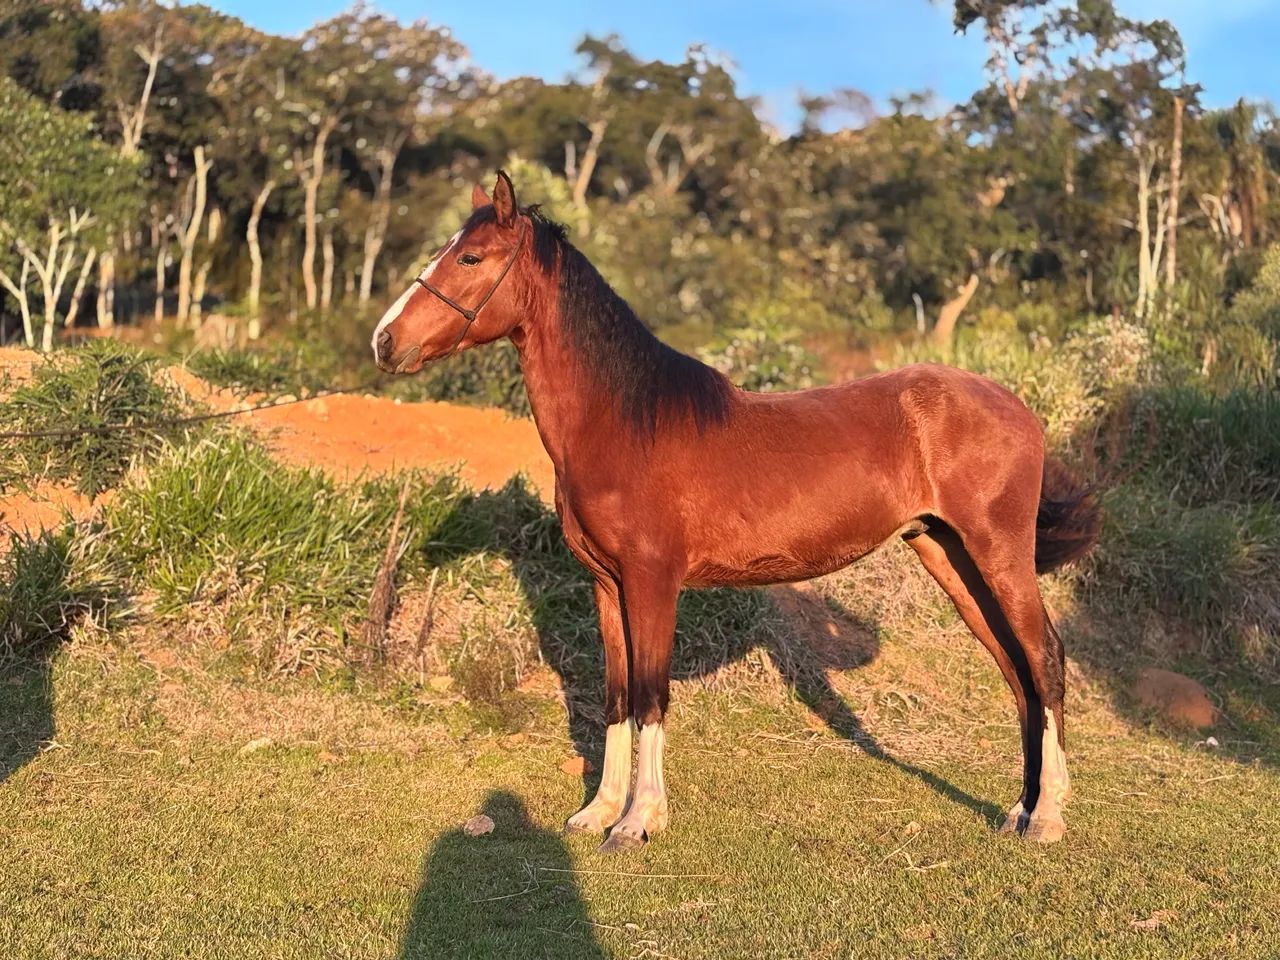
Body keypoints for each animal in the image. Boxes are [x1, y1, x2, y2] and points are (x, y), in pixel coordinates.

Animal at [372, 171, 1100, 852]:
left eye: (470, 257)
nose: (385, 341)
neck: (622, 422)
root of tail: (1019, 409)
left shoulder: (652, 584)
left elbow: (650, 695)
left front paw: (638, 821)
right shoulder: (607, 586)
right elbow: (614, 696)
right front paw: (597, 812)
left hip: (997, 553)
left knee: (1044, 657)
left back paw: (1048, 817)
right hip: (948, 555)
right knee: (1016, 671)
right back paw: (1019, 809)